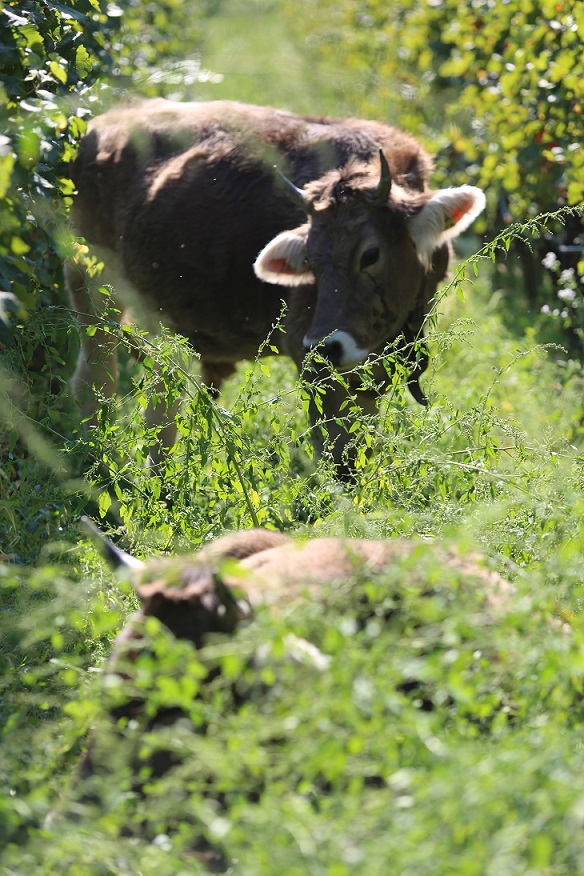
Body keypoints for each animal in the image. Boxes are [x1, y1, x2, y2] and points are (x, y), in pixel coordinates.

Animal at [66, 97, 486, 472]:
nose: (326, 346)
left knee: (163, 390)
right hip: (91, 282)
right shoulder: (313, 364)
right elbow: (340, 460)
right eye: (310, 259)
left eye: (370, 254)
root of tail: (105, 121)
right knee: (96, 375)